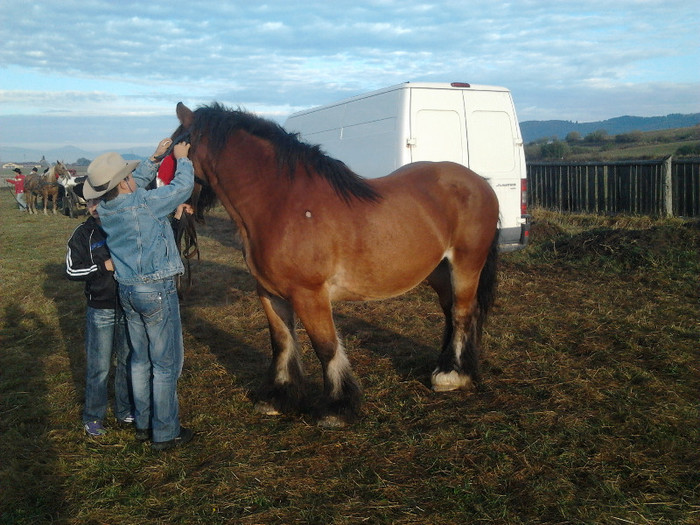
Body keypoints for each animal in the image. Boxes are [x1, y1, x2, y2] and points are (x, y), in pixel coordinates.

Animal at [175, 102, 504, 426]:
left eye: (172, 148)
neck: (282, 204)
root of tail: (480, 182)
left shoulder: (309, 295)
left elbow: (326, 346)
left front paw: (336, 407)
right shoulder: (269, 293)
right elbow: (281, 342)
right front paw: (278, 398)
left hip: (467, 264)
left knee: (463, 313)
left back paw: (453, 376)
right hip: (438, 270)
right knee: (450, 312)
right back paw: (444, 367)